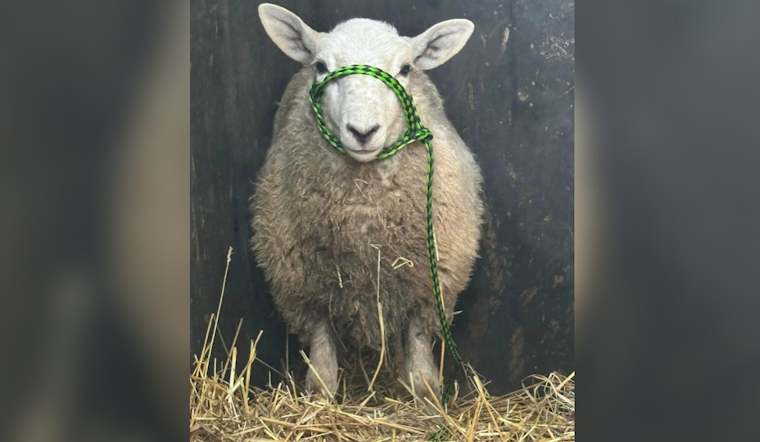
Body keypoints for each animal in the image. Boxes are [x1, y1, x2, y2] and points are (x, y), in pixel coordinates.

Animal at [250, 3, 484, 402]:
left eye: (405, 69)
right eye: (320, 66)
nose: (362, 132)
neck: (363, 211)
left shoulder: (428, 287)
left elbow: (421, 363)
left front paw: (427, 403)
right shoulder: (304, 288)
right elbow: (322, 365)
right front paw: (320, 401)